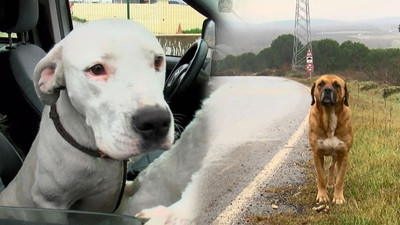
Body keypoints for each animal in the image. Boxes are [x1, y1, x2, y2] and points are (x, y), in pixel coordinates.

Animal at [310, 74, 354, 205]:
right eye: (321, 84)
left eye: (336, 85)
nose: (328, 90)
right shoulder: (317, 153)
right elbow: (320, 176)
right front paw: (322, 196)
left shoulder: (343, 154)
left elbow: (340, 179)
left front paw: (338, 197)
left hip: (336, 155)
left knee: (332, 168)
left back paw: (330, 183)